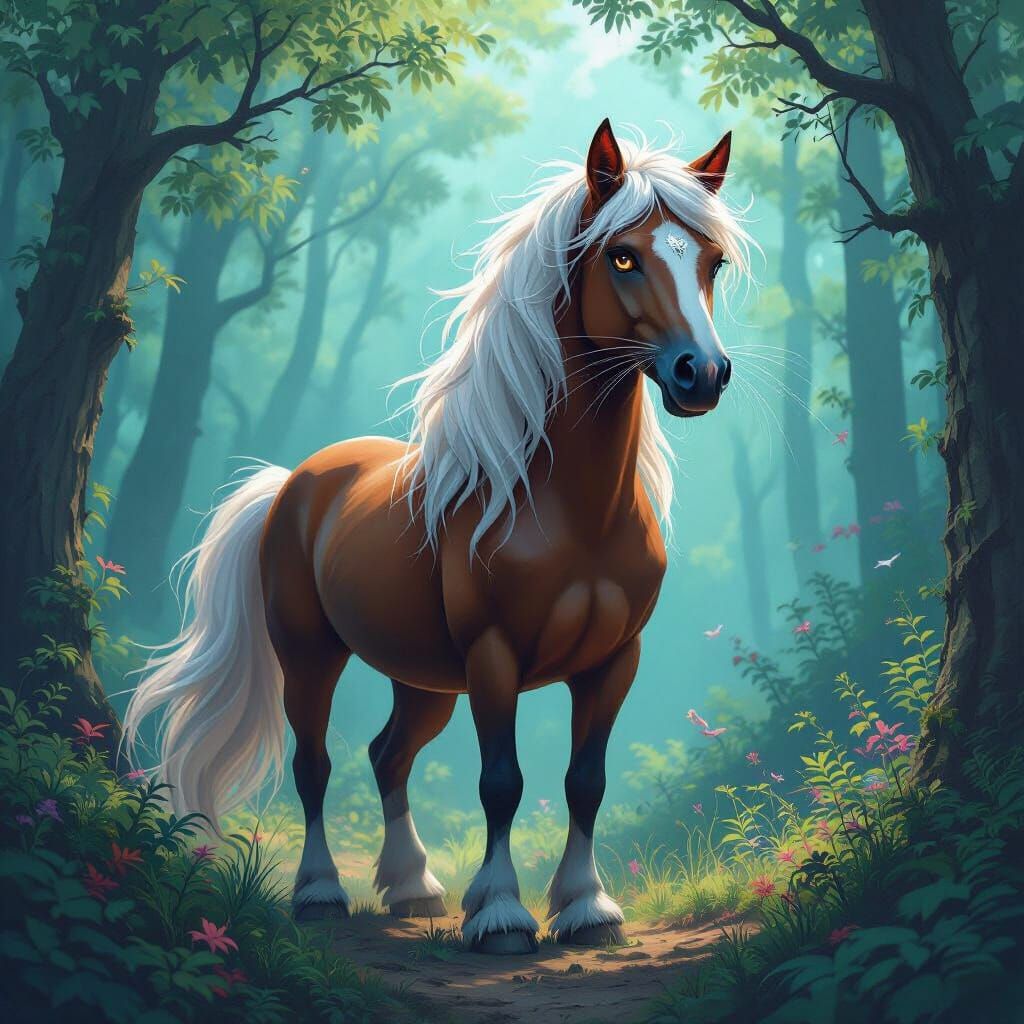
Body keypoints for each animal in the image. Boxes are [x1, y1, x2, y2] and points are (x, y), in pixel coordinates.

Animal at [124, 119, 753, 954]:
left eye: (712, 262)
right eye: (623, 256)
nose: (701, 374)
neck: (571, 509)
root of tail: (294, 481)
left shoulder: (615, 661)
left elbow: (586, 782)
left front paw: (587, 908)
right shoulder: (494, 657)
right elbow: (502, 782)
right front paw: (502, 916)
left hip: (422, 679)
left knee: (388, 756)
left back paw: (413, 888)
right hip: (312, 656)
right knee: (315, 764)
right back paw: (321, 893)